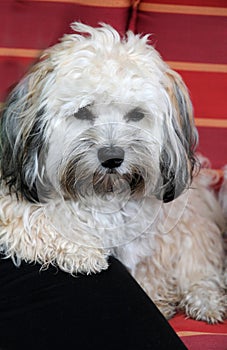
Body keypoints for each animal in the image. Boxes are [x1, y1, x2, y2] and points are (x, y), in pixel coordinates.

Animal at [0, 21, 226, 322]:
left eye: (136, 114)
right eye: (83, 112)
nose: (112, 158)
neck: (103, 193)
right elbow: (36, 220)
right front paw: (84, 253)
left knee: (199, 266)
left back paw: (205, 299)